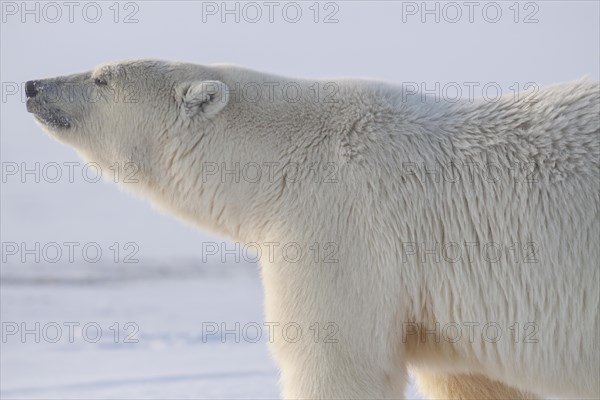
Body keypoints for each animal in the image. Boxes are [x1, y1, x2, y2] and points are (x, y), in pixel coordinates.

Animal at [25, 60, 596, 400]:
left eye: (101, 77)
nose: (32, 85)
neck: (284, 157)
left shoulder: (340, 228)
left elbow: (333, 358)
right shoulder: (442, 304)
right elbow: (470, 378)